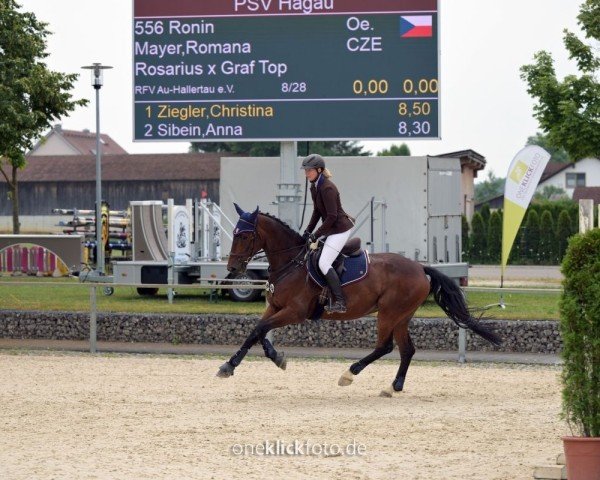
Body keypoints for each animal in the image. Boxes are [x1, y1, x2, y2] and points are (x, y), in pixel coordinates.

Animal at [217, 204, 502, 396]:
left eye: (244, 236)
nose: (232, 268)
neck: (291, 262)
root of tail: (421, 268)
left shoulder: (294, 312)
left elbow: (260, 329)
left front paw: (238, 364)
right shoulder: (275, 307)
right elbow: (257, 331)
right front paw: (254, 360)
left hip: (388, 313)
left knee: (385, 347)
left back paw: (349, 374)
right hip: (401, 316)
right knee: (407, 349)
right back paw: (393, 387)